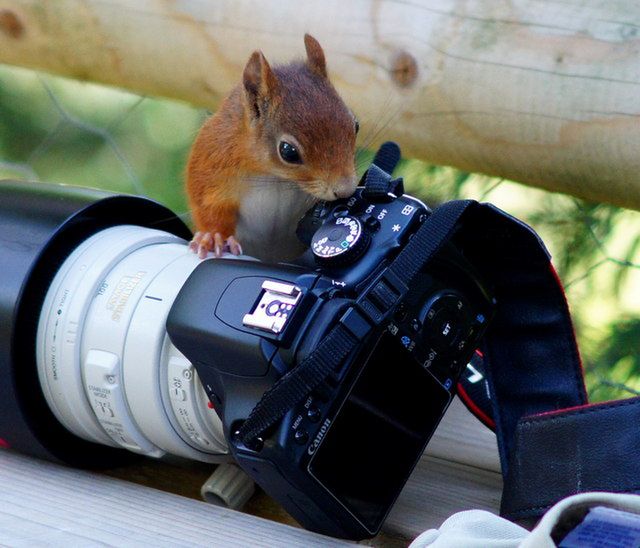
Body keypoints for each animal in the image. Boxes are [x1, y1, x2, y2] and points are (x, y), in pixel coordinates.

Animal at [186, 35, 360, 262]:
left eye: (356, 125)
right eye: (288, 151)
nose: (346, 190)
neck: (273, 176)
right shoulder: (212, 164)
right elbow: (208, 207)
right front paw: (213, 237)